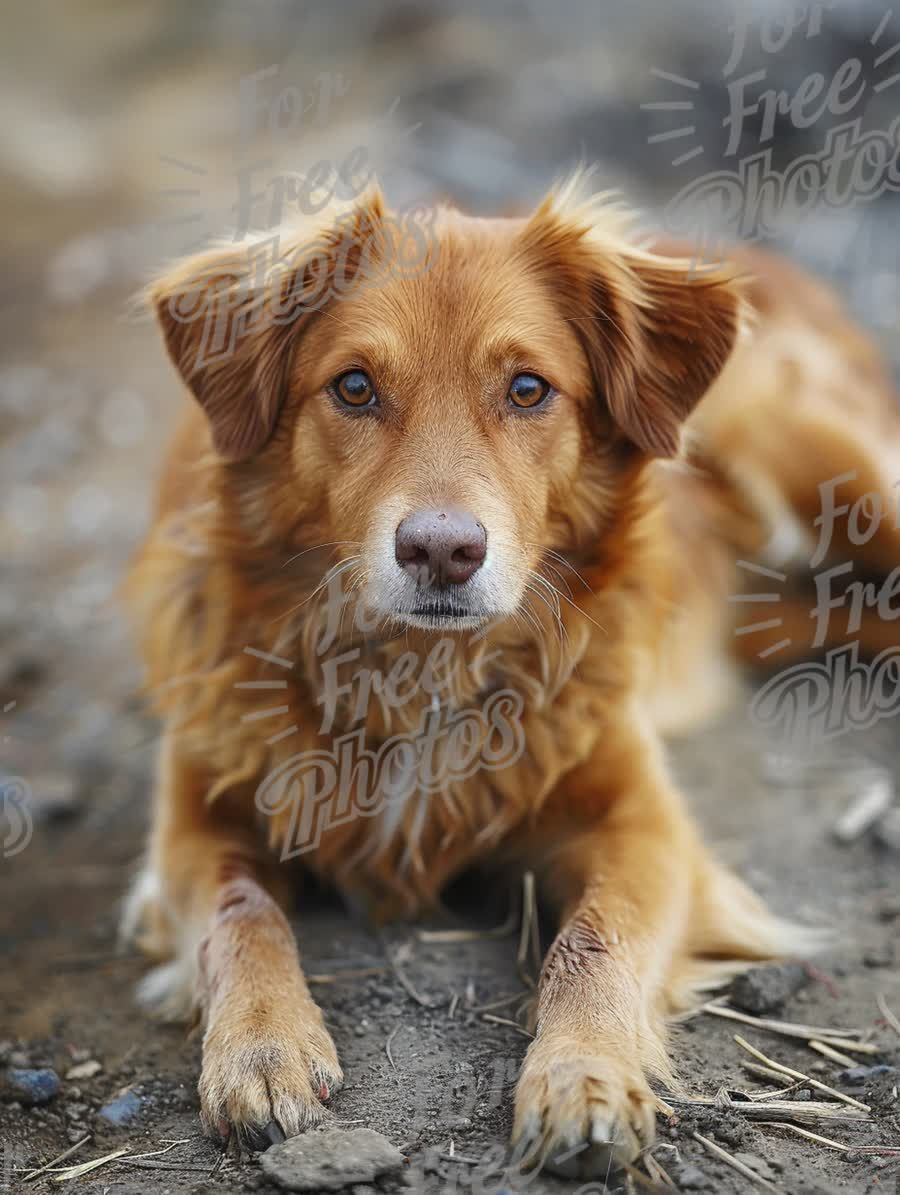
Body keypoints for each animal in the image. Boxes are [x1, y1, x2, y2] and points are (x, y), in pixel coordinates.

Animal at [121, 179, 898, 1175]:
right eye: (354, 386)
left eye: (529, 389)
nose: (441, 550)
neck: (416, 670)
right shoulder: (192, 818)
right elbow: (240, 909)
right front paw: (260, 1046)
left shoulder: (642, 822)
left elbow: (593, 941)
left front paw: (584, 1074)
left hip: (830, 460)